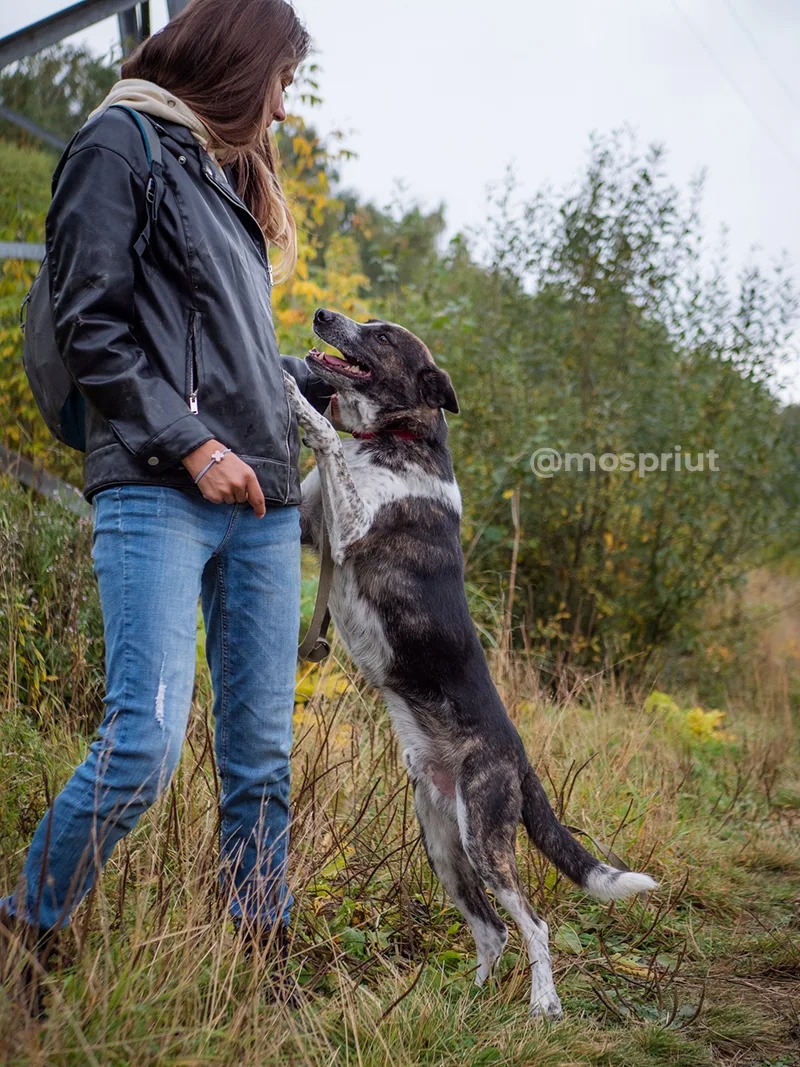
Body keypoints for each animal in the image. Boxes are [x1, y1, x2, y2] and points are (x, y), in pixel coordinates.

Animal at [283, 311, 657, 1015]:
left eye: (381, 335)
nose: (322, 317)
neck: (396, 437)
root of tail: (519, 757)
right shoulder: (312, 529)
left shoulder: (348, 530)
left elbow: (324, 437)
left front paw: (297, 400)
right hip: (442, 842)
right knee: (489, 931)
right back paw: (464, 1004)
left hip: (484, 837)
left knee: (532, 924)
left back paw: (543, 1006)